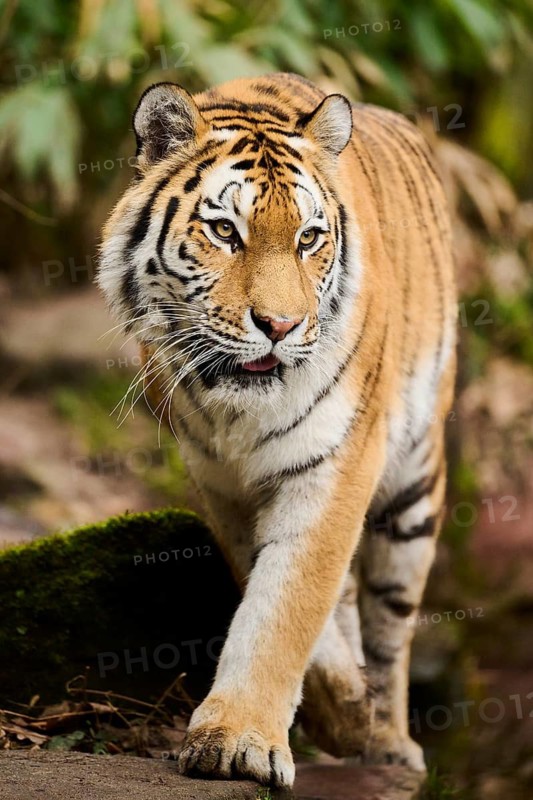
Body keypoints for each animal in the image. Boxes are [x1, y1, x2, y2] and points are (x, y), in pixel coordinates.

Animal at [98, 72, 457, 788]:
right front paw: (333, 711)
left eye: (309, 239)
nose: (281, 326)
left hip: (413, 489)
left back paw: (392, 744)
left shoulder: (339, 462)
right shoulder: (220, 485)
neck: (235, 410)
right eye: (224, 231)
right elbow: (281, 597)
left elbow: (287, 602)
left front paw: (241, 738)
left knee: (391, 630)